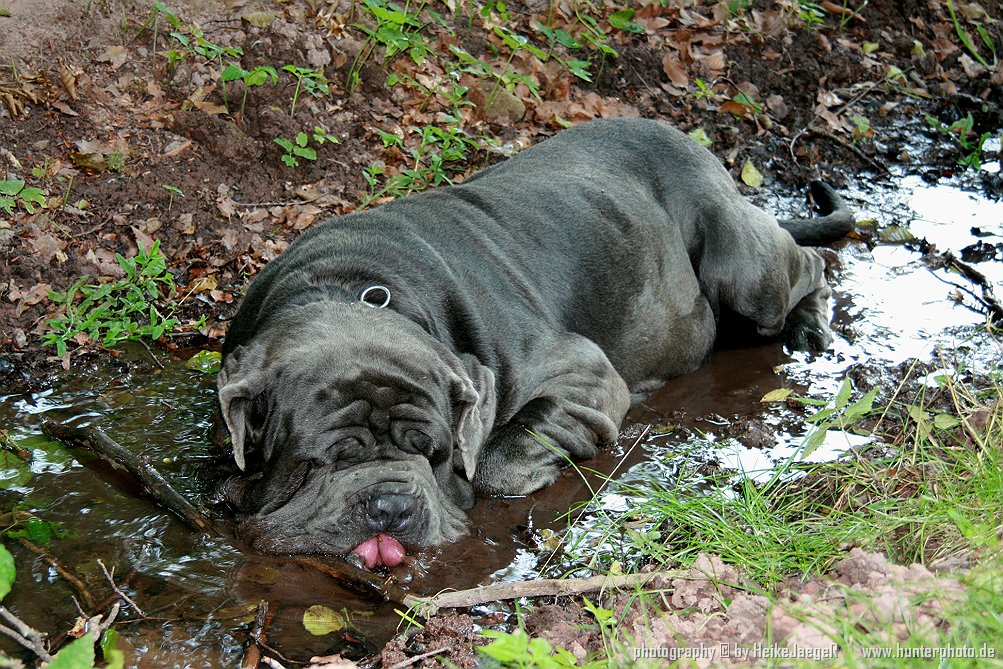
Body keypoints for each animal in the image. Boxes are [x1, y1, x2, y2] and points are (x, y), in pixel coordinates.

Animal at [215, 116, 850, 565]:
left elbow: (504, 452)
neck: (348, 288)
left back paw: (810, 325)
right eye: (320, 461)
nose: (391, 505)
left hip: (744, 271)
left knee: (812, 264)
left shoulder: (586, 375)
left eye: (434, 454)